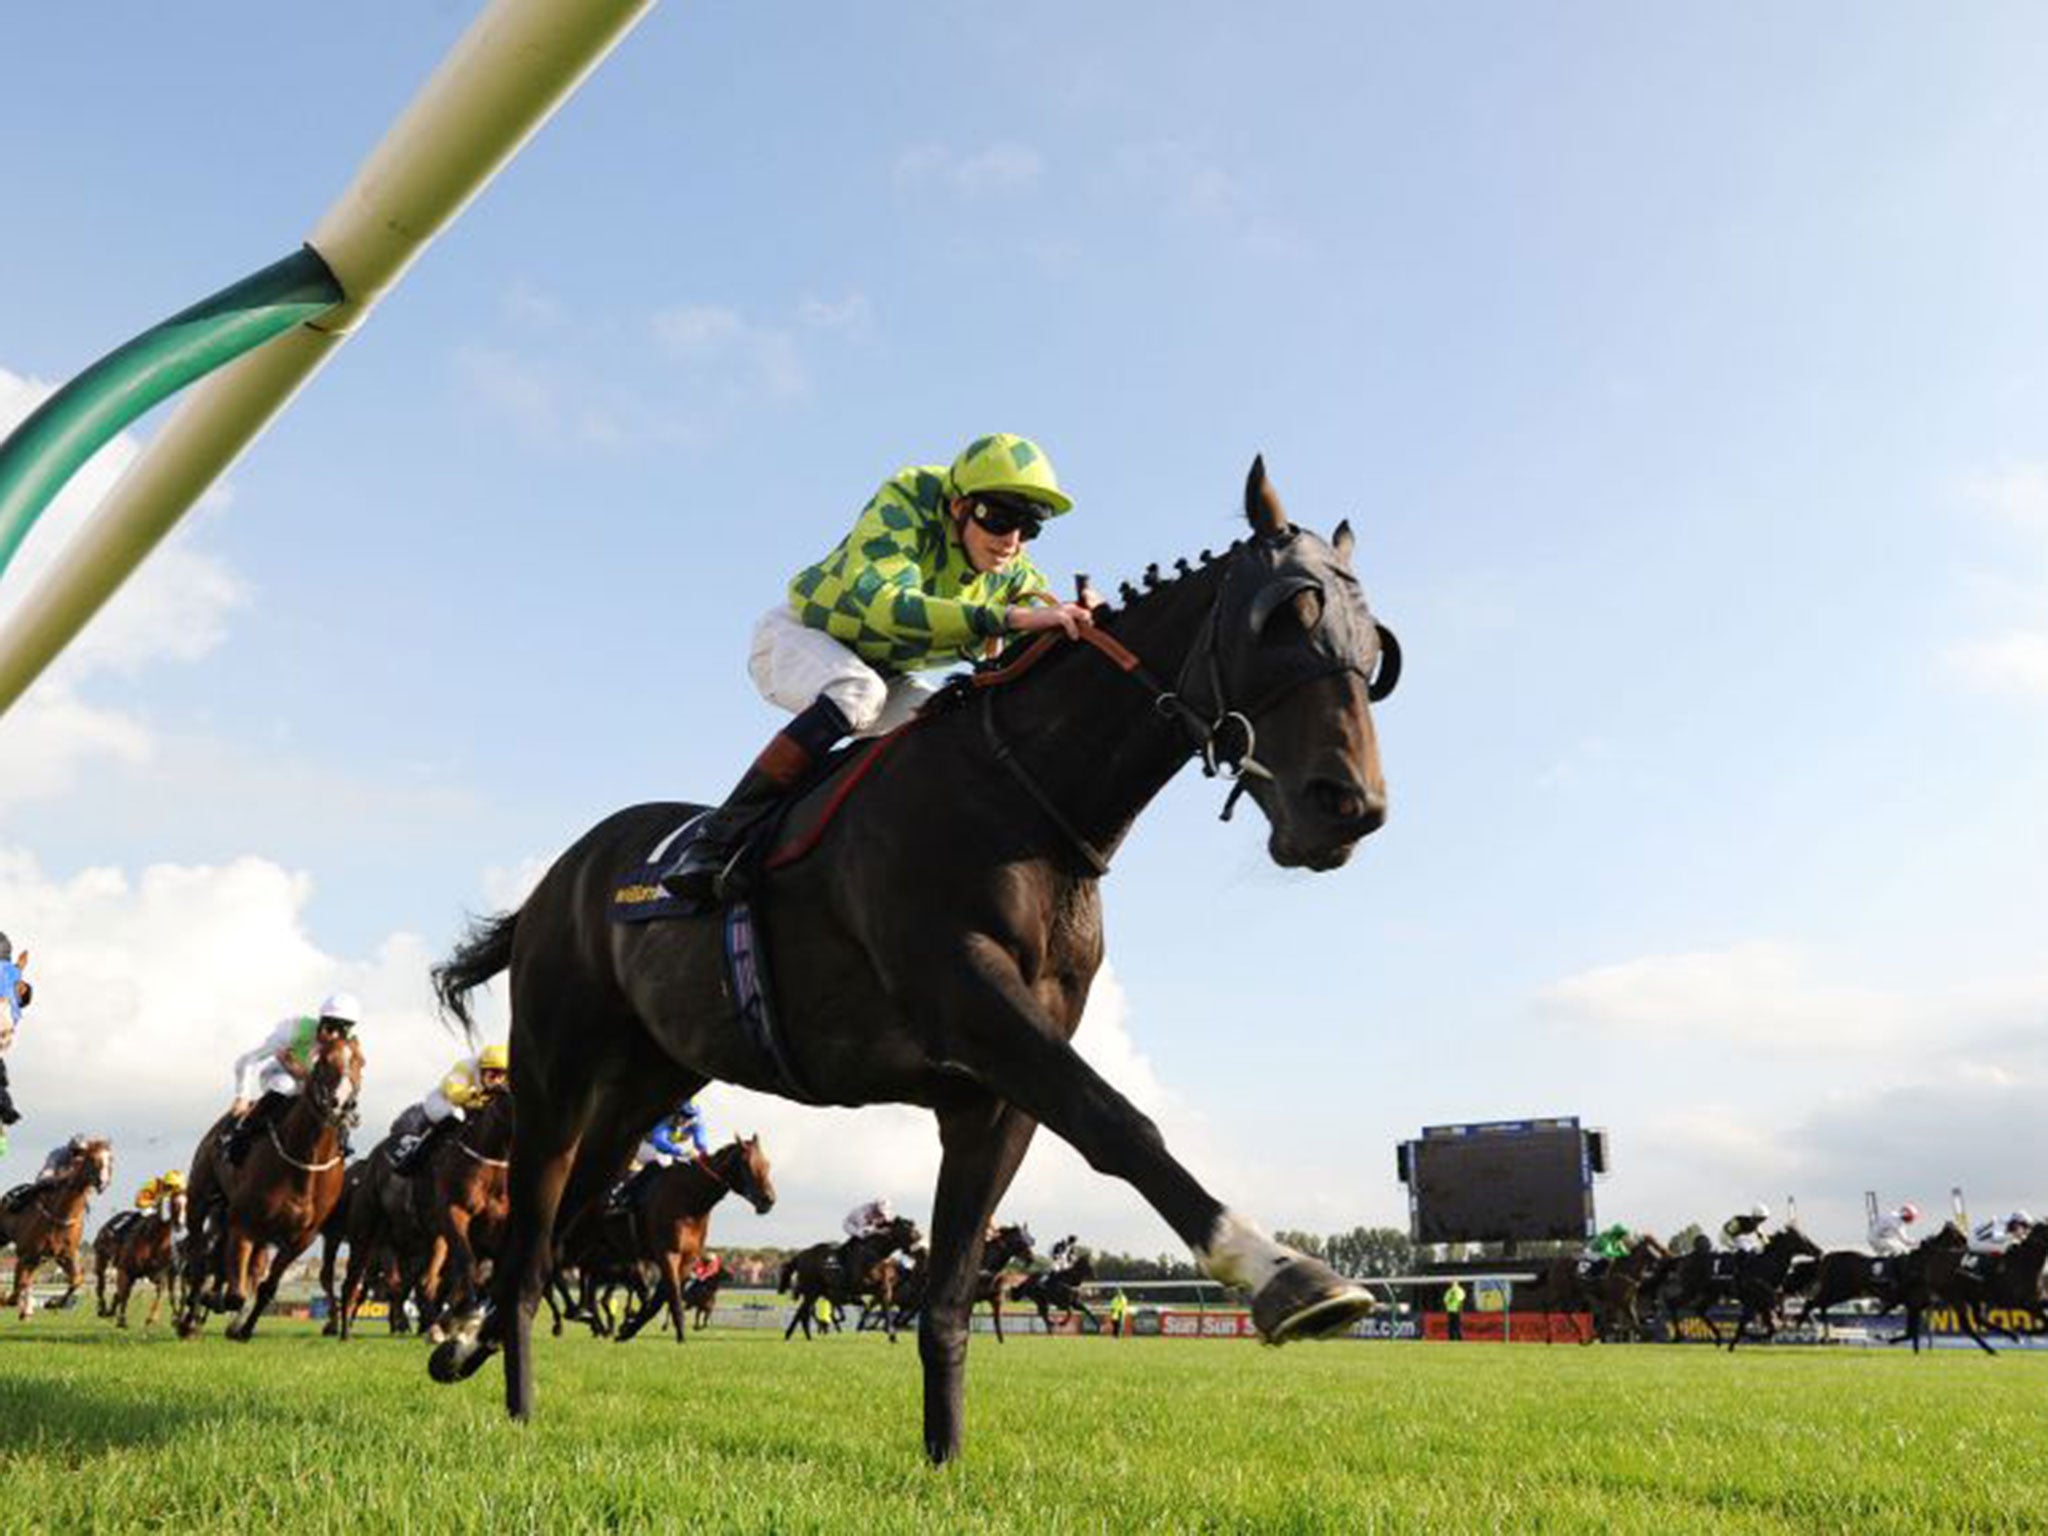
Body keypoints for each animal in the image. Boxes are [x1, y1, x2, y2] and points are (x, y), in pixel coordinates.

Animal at [425, 460, 1400, 1466]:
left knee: (571, 1215)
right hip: (553, 1066)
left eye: (1379, 651)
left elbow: (948, 1305)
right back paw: (507, 1389)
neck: (1021, 802)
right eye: (1287, 615)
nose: (1349, 807)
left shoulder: (991, 1093)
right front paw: (1286, 1273)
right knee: (532, 1234)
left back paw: (466, 1341)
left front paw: (946, 1458)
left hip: (645, 1082)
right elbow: (1119, 1123)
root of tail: (564, 874)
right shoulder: (968, 999)